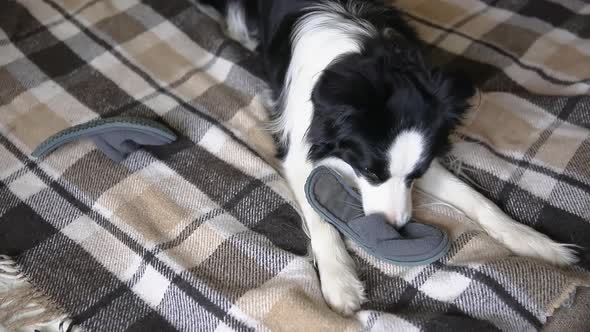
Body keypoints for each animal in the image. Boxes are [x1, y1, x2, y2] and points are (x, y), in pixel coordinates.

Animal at [198, 0, 580, 316]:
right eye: (369, 171)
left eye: (415, 175)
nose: (396, 228)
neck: (369, 62)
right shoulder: (299, 147)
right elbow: (319, 217)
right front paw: (340, 281)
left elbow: (475, 198)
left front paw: (534, 242)